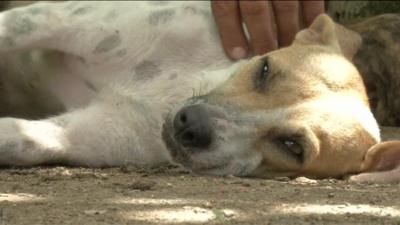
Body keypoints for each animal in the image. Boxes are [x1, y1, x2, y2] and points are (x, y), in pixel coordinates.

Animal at [0, 0, 400, 182]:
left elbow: (18, 138)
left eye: (293, 146)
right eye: (264, 70)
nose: (192, 125)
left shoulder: (85, 132)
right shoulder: (53, 19)